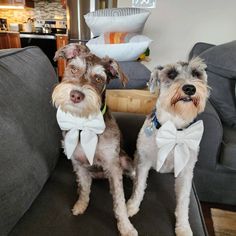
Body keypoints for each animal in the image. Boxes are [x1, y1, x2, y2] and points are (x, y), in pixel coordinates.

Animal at [51, 43, 136, 236]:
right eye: (73, 68)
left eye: (98, 78)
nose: (76, 95)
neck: (84, 124)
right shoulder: (79, 164)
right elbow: (84, 189)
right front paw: (80, 205)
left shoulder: (113, 166)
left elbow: (119, 200)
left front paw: (126, 227)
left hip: (125, 161)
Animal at [126, 57, 209, 236]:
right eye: (171, 74)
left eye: (196, 73)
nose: (190, 88)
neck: (174, 126)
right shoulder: (143, 161)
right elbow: (139, 186)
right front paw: (131, 206)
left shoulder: (186, 172)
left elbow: (184, 200)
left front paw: (183, 227)